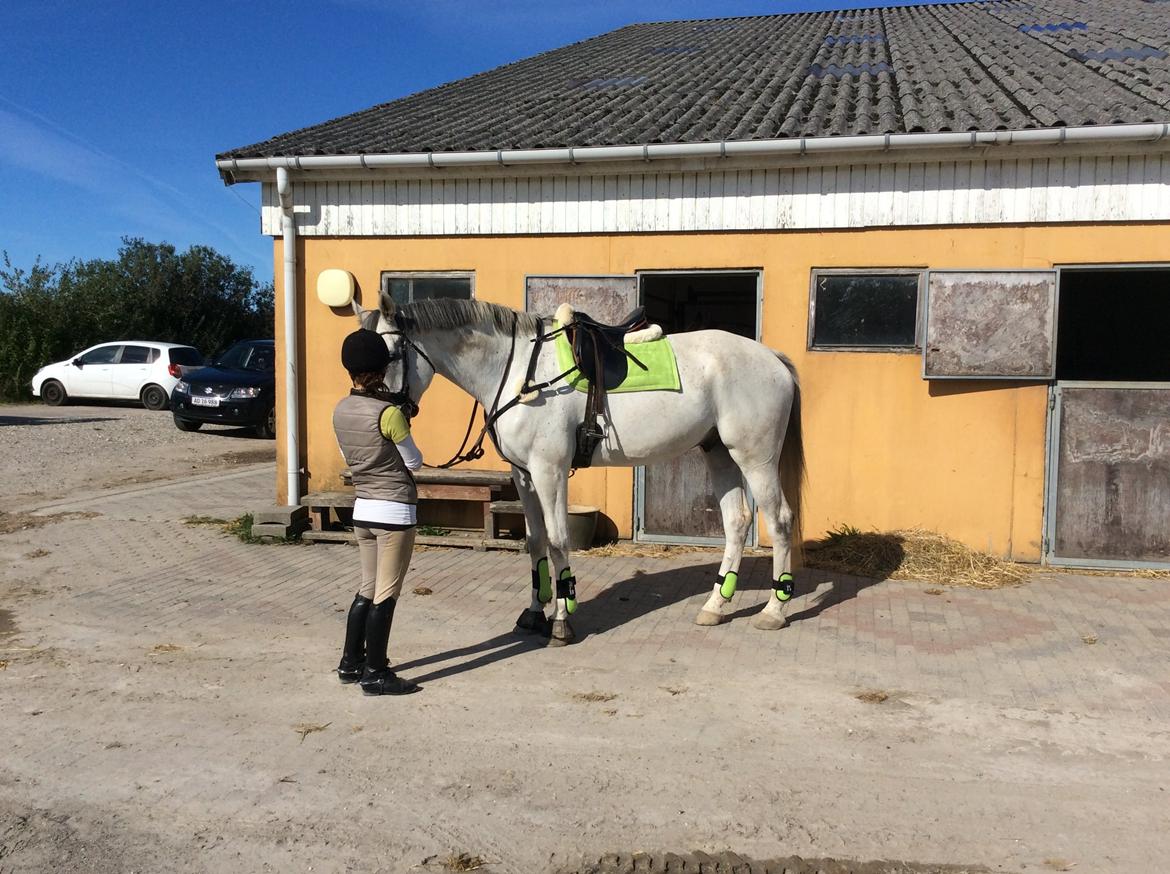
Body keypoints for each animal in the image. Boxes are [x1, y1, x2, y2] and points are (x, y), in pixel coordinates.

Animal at [348, 297, 804, 645]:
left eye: (386, 355)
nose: (377, 412)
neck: (517, 372)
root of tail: (772, 358)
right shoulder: (524, 475)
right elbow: (534, 541)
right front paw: (535, 613)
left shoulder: (548, 470)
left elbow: (557, 540)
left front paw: (562, 621)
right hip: (719, 452)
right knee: (736, 522)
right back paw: (715, 606)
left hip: (754, 457)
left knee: (779, 521)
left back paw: (774, 611)